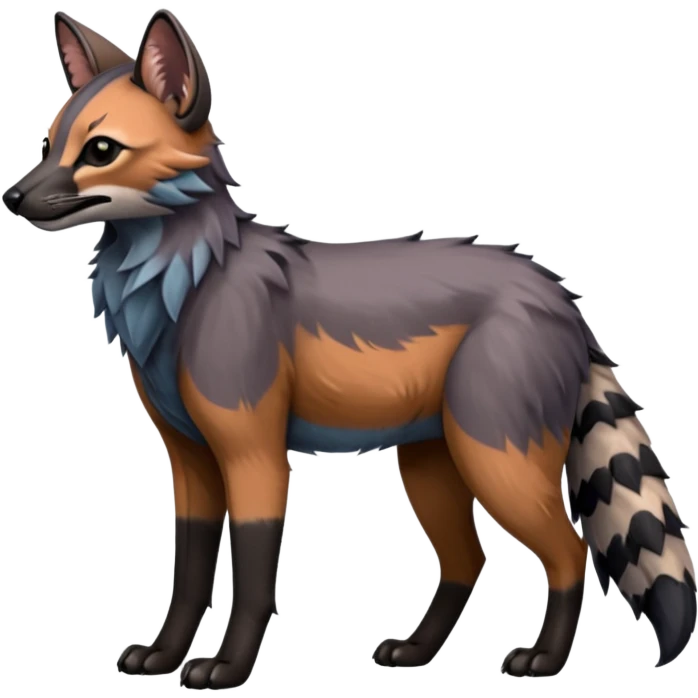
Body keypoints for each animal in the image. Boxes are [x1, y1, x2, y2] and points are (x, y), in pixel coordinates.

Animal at [3, 9, 694, 689]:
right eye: (50, 144)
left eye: (100, 151)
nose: (13, 196)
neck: (185, 285)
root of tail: (559, 295)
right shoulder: (190, 459)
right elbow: (190, 575)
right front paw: (164, 655)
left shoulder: (254, 453)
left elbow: (252, 577)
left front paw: (229, 667)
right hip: (431, 465)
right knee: (467, 561)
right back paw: (417, 651)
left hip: (497, 461)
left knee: (570, 552)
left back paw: (545, 660)